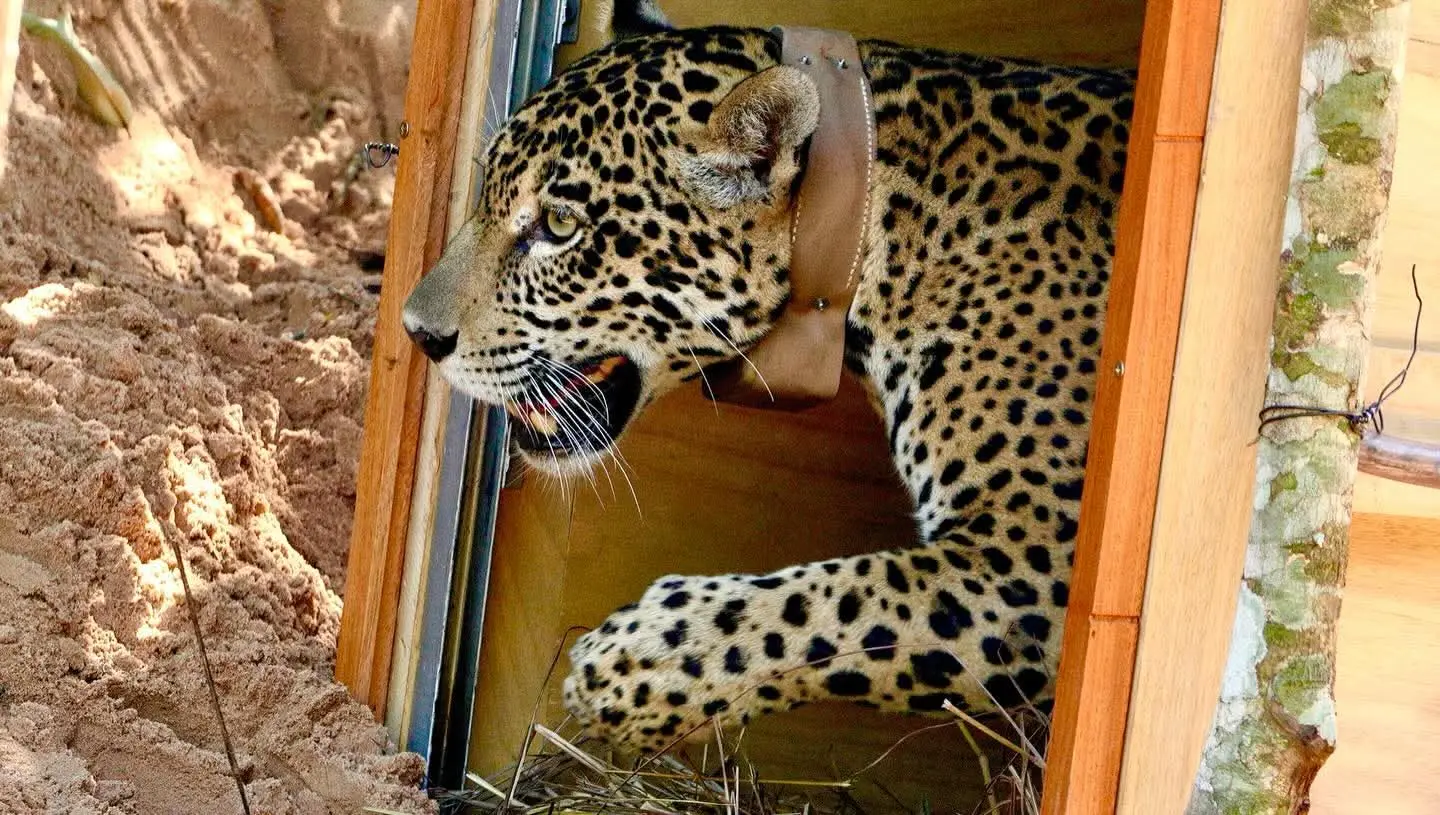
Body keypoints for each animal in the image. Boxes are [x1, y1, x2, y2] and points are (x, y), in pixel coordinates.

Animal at [401, 0, 1133, 752]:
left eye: (558, 223)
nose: (418, 332)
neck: (881, 225)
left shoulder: (1037, 557)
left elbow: (842, 600)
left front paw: (633, 664)